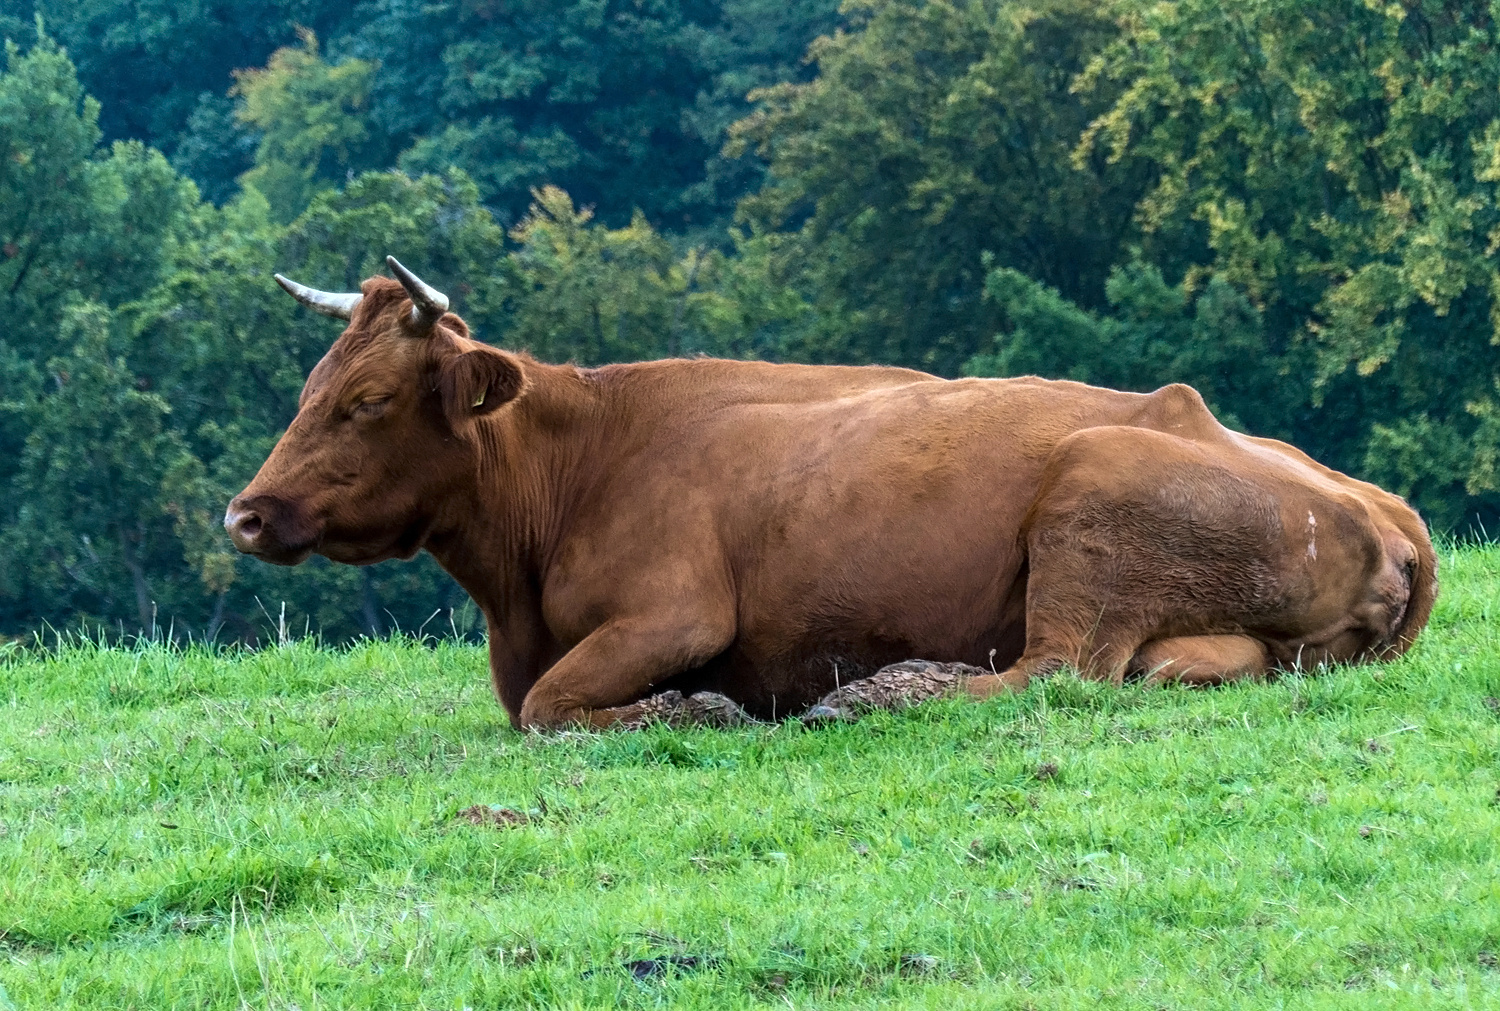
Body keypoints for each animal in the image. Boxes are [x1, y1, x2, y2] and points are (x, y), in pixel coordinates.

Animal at [222, 259, 1428, 729]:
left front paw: (692, 709)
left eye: (370, 399)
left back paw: (882, 690)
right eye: (312, 384)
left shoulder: (675, 613)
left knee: (1048, 673)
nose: (246, 512)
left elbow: (548, 709)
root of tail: (1388, 513)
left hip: (1090, 505)